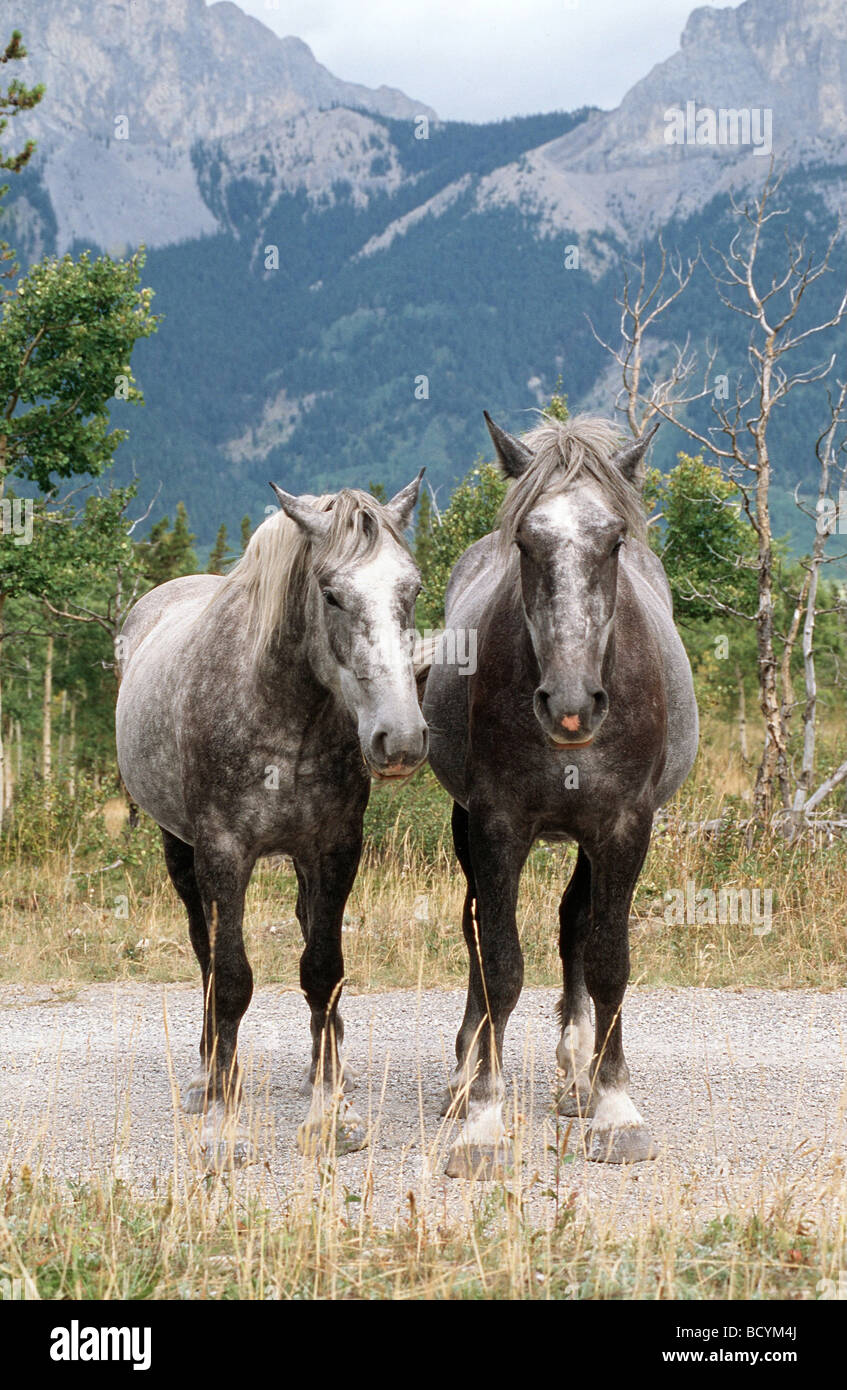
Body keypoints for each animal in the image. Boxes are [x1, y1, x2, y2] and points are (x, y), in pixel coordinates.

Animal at [115, 478, 425, 1162]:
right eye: (331, 593)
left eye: (412, 588)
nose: (400, 739)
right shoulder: (223, 853)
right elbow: (231, 978)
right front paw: (221, 1122)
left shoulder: (334, 850)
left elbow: (323, 970)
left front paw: (331, 1111)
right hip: (180, 851)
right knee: (204, 950)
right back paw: (207, 1075)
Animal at [425, 411, 698, 1173]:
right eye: (525, 540)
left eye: (614, 540)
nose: (572, 706)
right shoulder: (495, 824)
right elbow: (500, 964)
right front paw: (483, 1120)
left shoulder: (622, 826)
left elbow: (606, 959)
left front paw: (614, 1106)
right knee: (476, 933)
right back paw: (464, 1073)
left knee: (575, 923)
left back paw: (577, 1072)